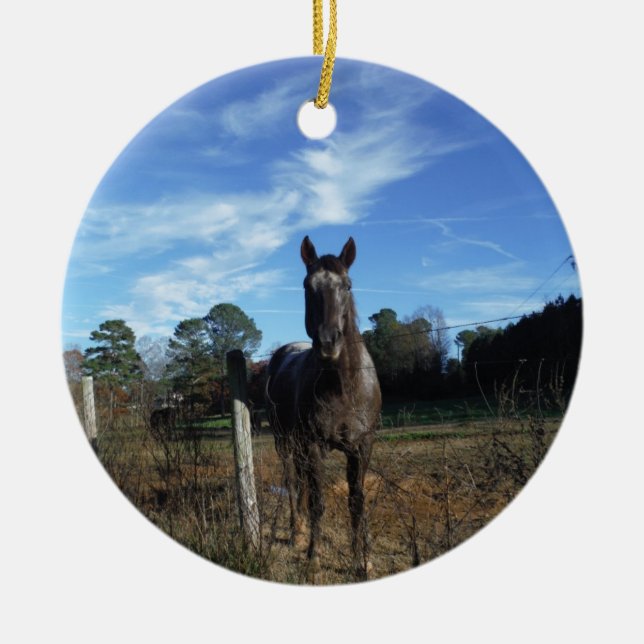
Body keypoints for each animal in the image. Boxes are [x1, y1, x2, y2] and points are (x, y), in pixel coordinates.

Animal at [265, 236, 382, 581]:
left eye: (347, 285)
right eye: (307, 286)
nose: (329, 342)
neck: (343, 386)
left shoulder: (362, 446)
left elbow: (356, 500)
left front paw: (362, 559)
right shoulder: (315, 445)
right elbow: (317, 502)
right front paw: (313, 557)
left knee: (302, 481)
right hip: (285, 442)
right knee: (293, 482)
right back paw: (297, 532)